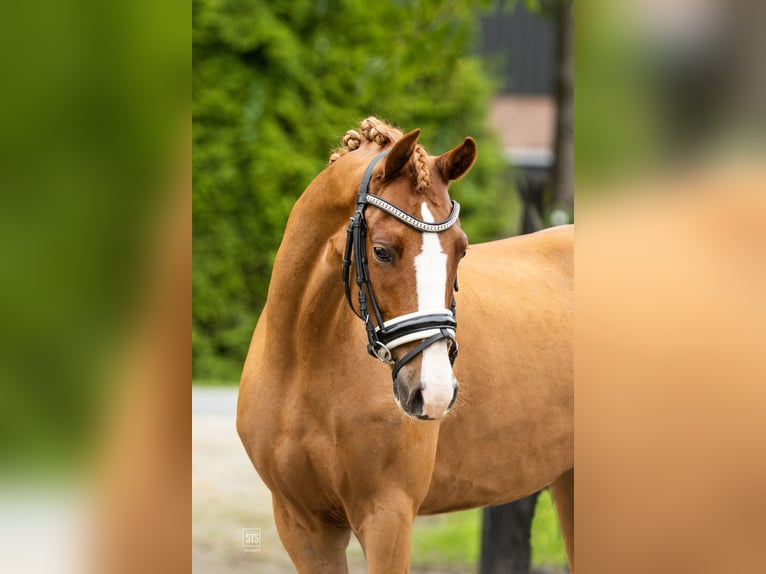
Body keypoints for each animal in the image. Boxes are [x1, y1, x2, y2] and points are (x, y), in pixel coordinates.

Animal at [237, 118, 572, 574]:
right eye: (381, 251)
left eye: (461, 250)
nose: (434, 392)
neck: (302, 362)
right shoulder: (301, 524)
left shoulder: (386, 516)